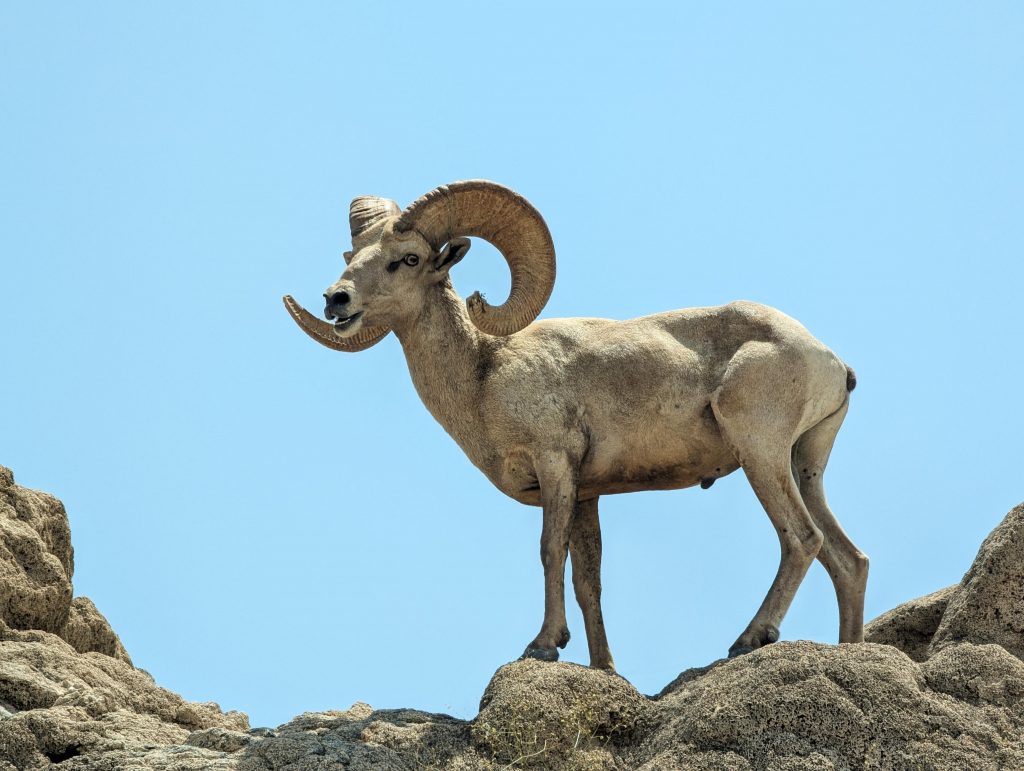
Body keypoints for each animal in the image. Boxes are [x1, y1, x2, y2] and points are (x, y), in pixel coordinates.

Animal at [284, 180, 868, 667]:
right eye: (352, 256)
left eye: (407, 259)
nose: (336, 301)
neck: (484, 373)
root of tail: (832, 363)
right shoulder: (588, 494)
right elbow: (590, 582)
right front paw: (604, 668)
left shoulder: (555, 467)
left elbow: (549, 553)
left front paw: (543, 645)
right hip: (805, 465)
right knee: (848, 560)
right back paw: (847, 649)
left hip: (760, 455)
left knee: (802, 539)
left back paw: (748, 640)